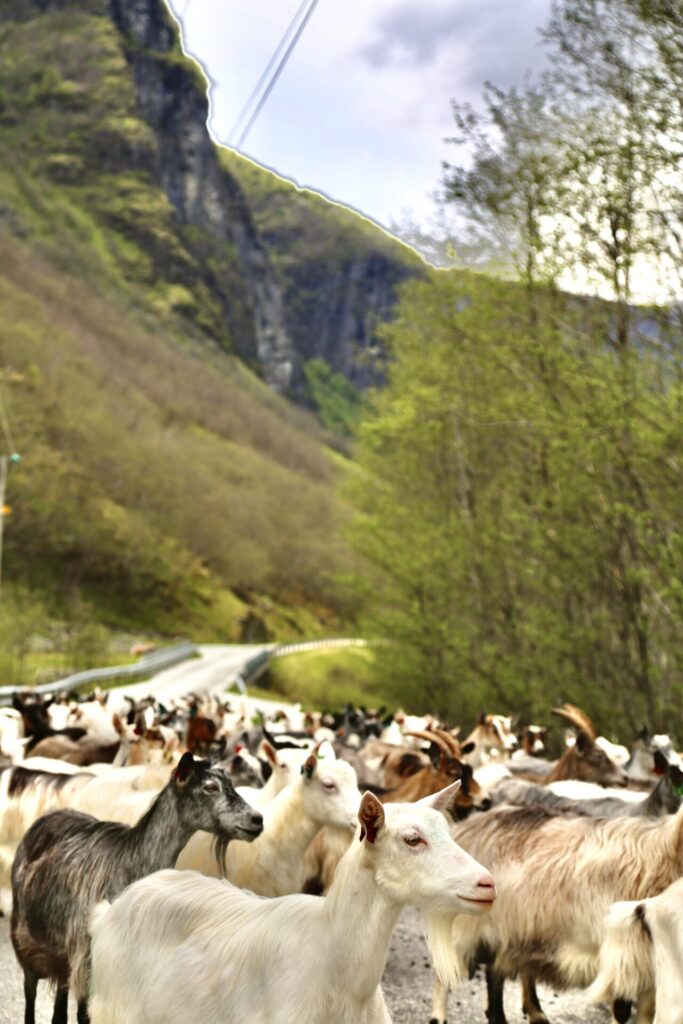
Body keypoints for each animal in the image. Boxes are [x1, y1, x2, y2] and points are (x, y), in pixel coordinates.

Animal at [11, 753, 262, 1024]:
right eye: (210, 787)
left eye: (231, 782)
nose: (257, 820)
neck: (128, 863)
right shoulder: (87, 958)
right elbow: (85, 1014)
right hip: (27, 943)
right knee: (30, 993)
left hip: (62, 959)